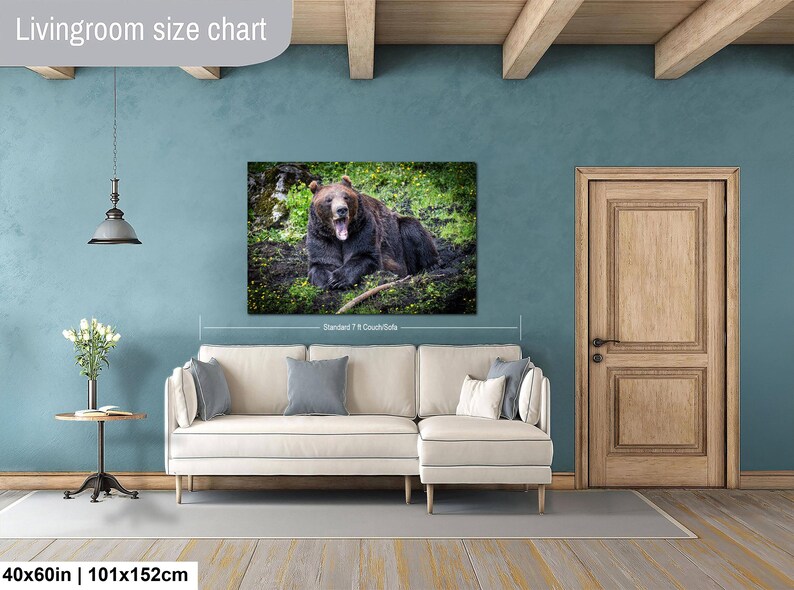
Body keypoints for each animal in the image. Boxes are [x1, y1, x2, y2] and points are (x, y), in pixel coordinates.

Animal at [306, 175, 439, 290]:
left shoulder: (363, 228)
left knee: (412, 229)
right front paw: (326, 280)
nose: (341, 209)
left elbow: (366, 256)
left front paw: (339, 279)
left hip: (399, 232)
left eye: (346, 197)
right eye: (328, 199)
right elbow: (322, 261)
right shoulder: (321, 236)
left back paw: (431, 266)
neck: (340, 238)